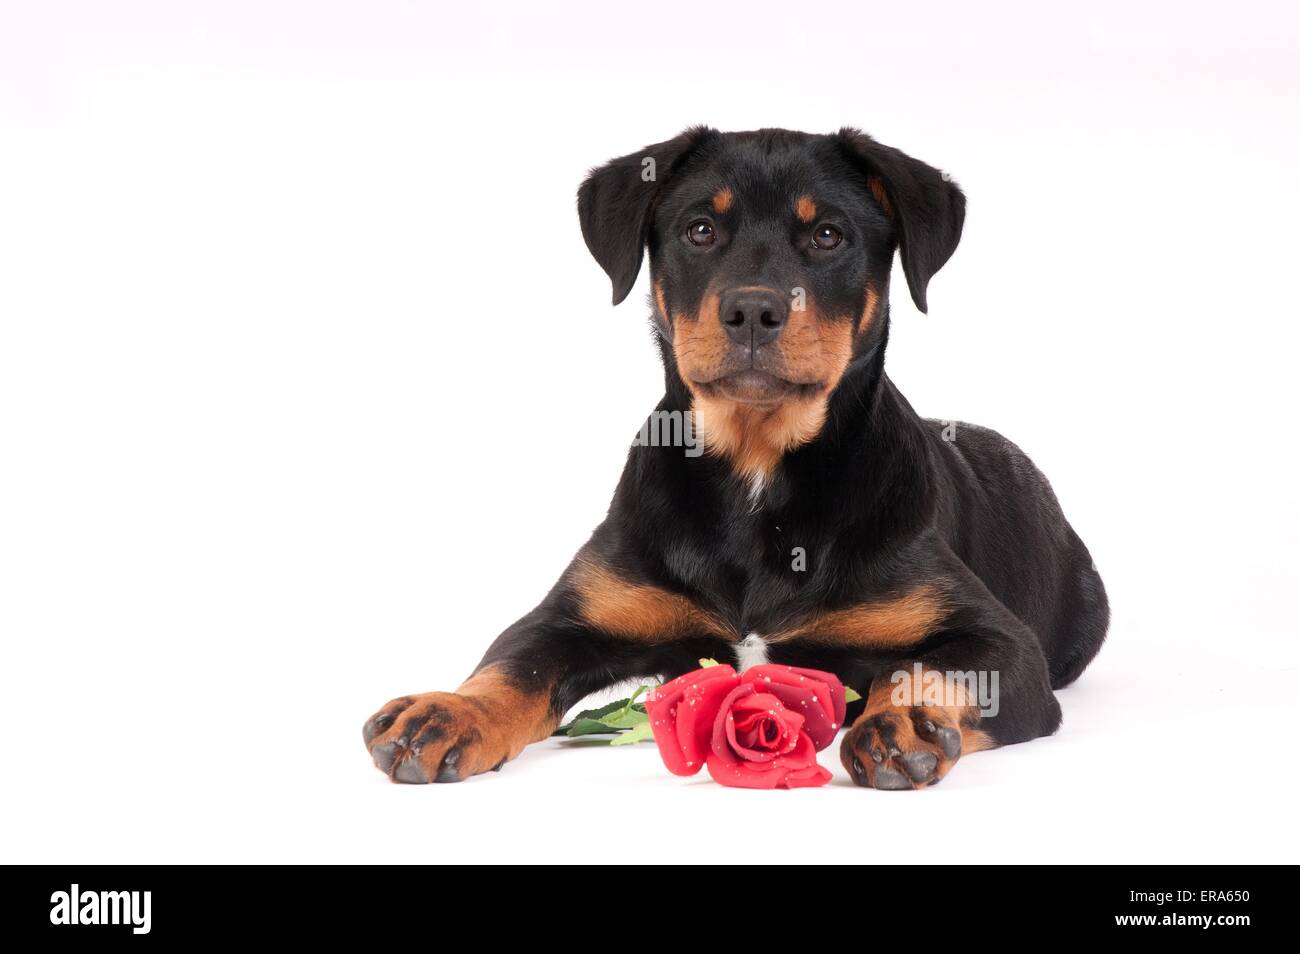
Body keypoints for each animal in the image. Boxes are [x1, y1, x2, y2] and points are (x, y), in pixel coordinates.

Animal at [364, 127, 1107, 790]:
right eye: (699, 230)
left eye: (829, 235)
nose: (753, 310)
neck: (756, 465)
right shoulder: (573, 614)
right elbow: (513, 664)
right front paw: (447, 714)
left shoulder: (1000, 642)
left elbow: (924, 668)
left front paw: (906, 724)